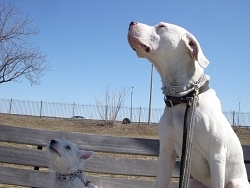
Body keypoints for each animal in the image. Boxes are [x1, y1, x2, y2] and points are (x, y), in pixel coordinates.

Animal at [128, 21, 249, 188]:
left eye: (162, 26)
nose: (131, 23)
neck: (183, 98)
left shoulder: (217, 156)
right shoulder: (166, 153)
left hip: (236, 182)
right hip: (193, 182)